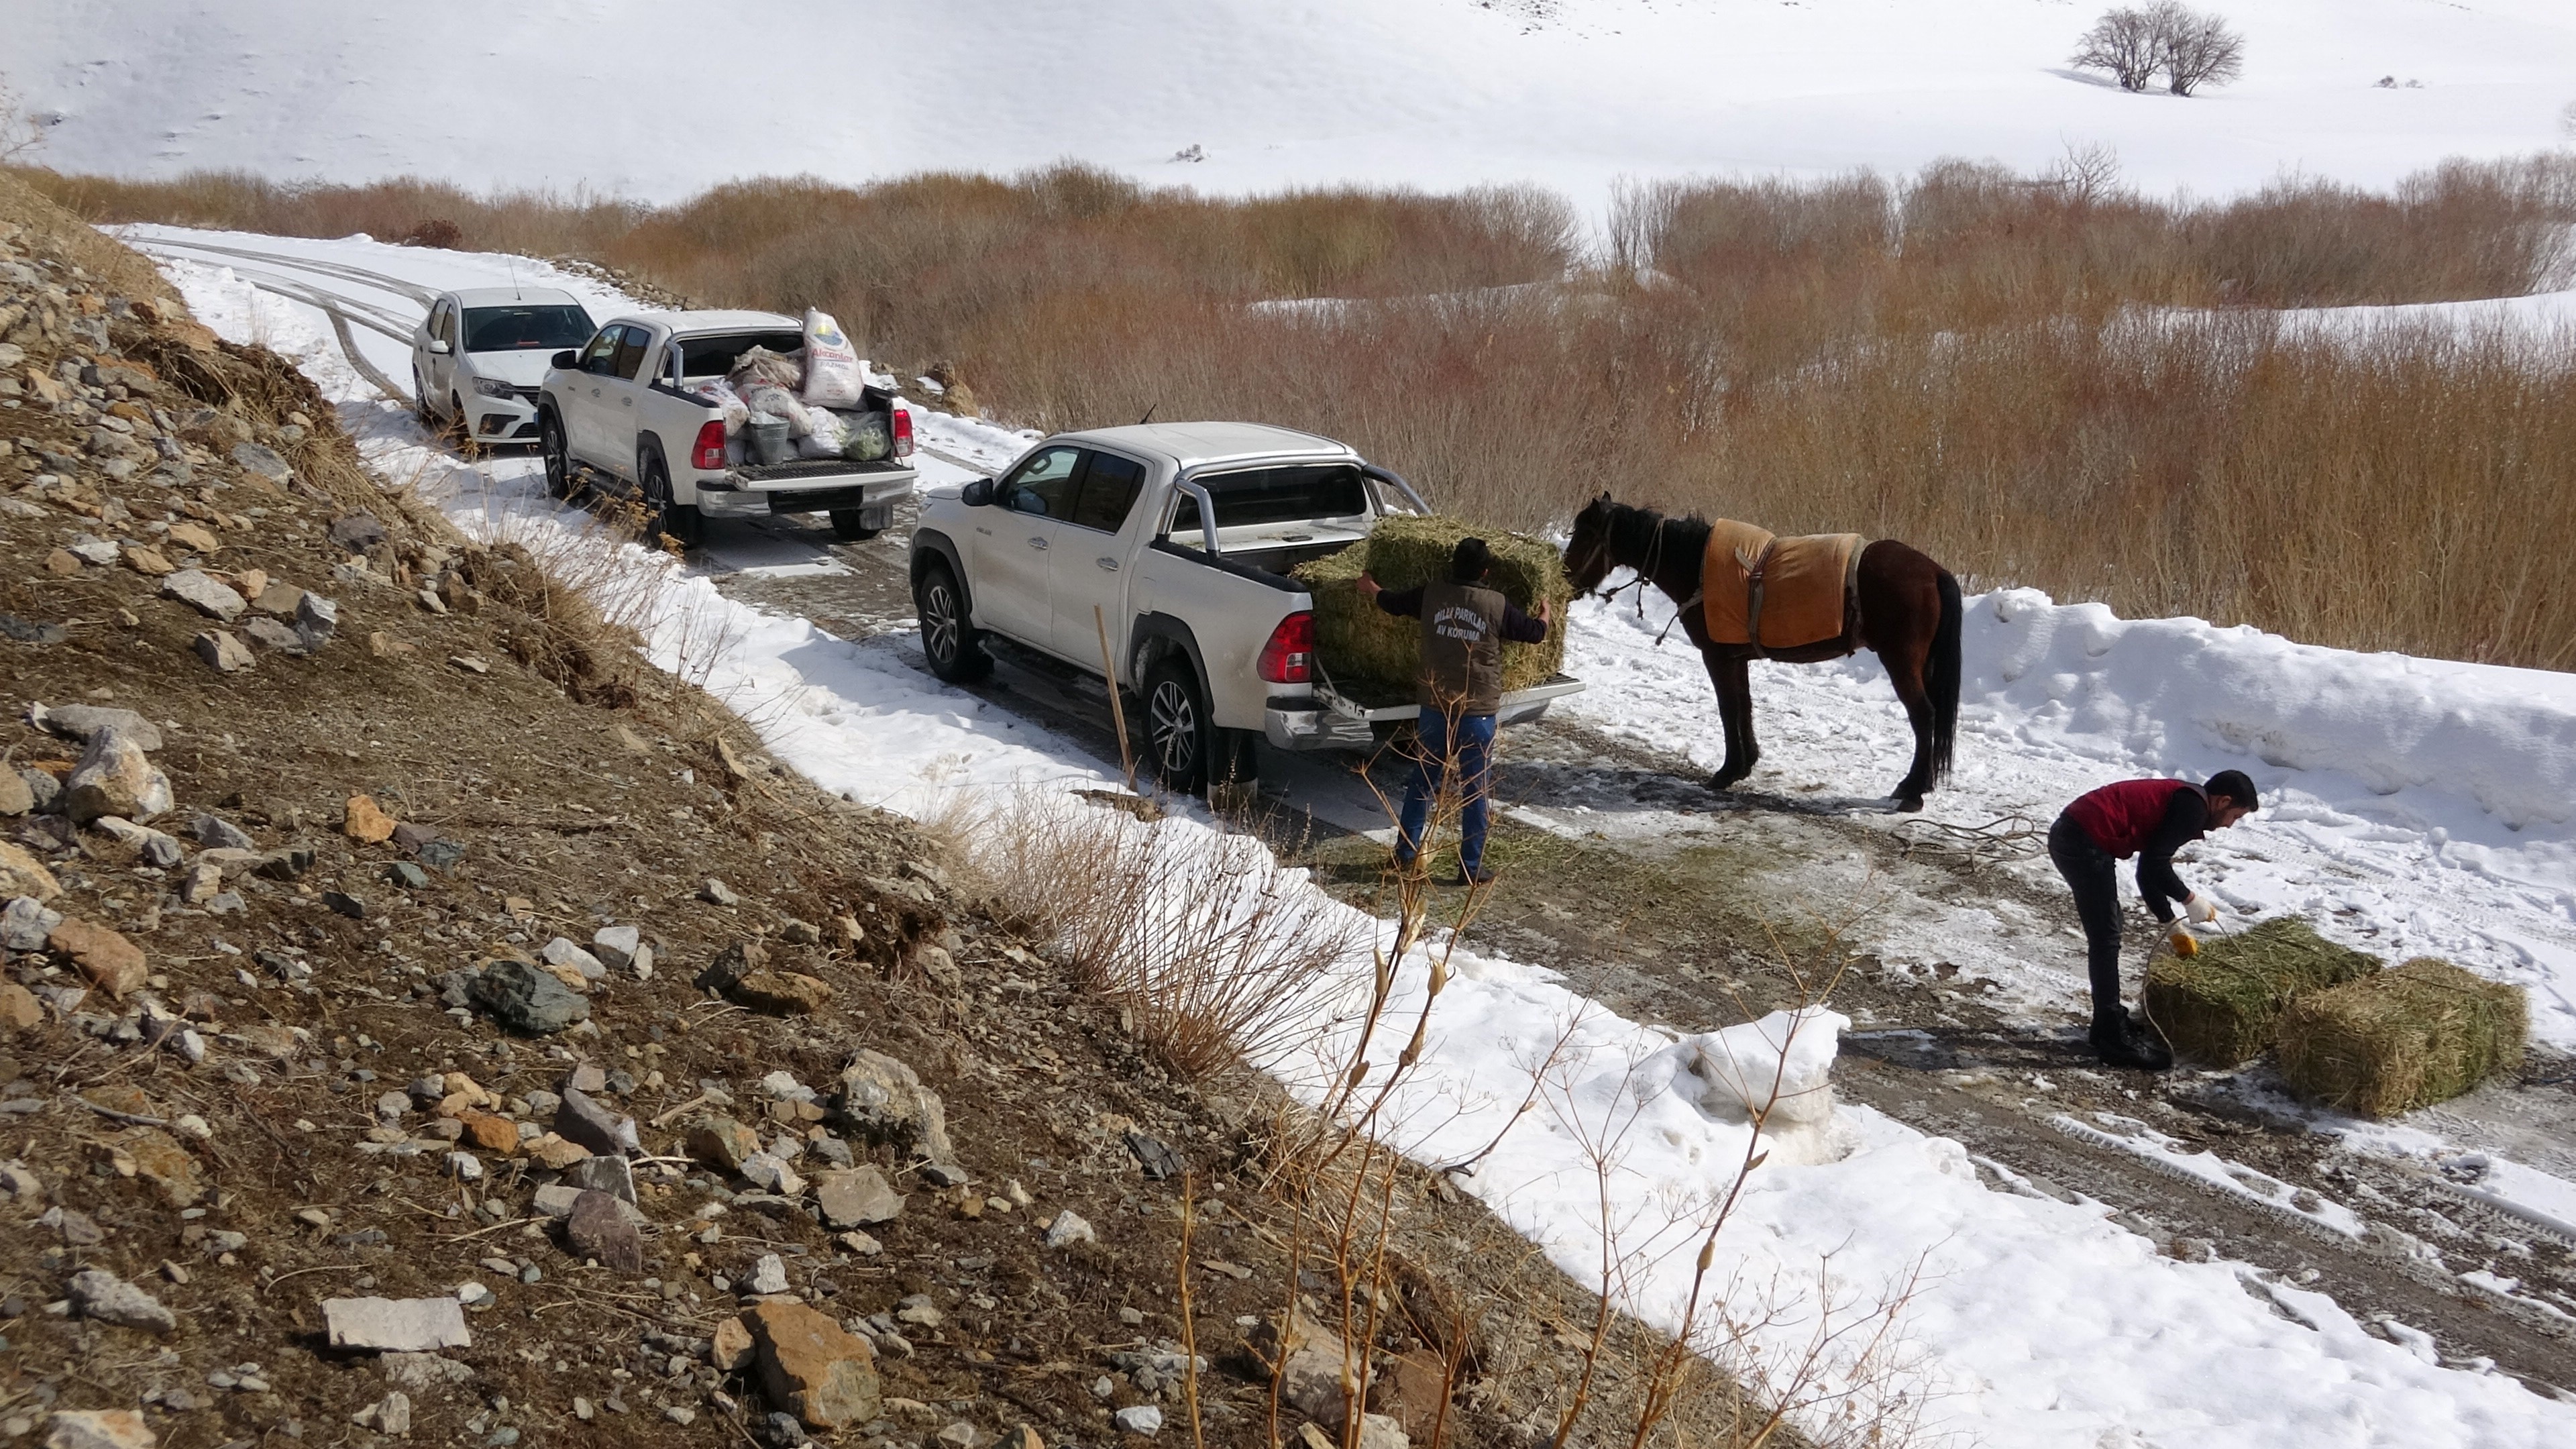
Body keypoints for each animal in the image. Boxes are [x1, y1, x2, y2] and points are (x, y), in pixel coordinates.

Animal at [1556, 492, 1957, 814]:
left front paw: (1727, 772)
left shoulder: (1718, 657)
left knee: (1924, 716)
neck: (1697, 565)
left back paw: (1912, 791)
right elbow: (1743, 707)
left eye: (1585, 533)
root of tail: (1934, 571)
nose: (1565, 581)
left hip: (1901, 663)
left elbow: (1728, 708)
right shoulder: (1737, 658)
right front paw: (1744, 764)